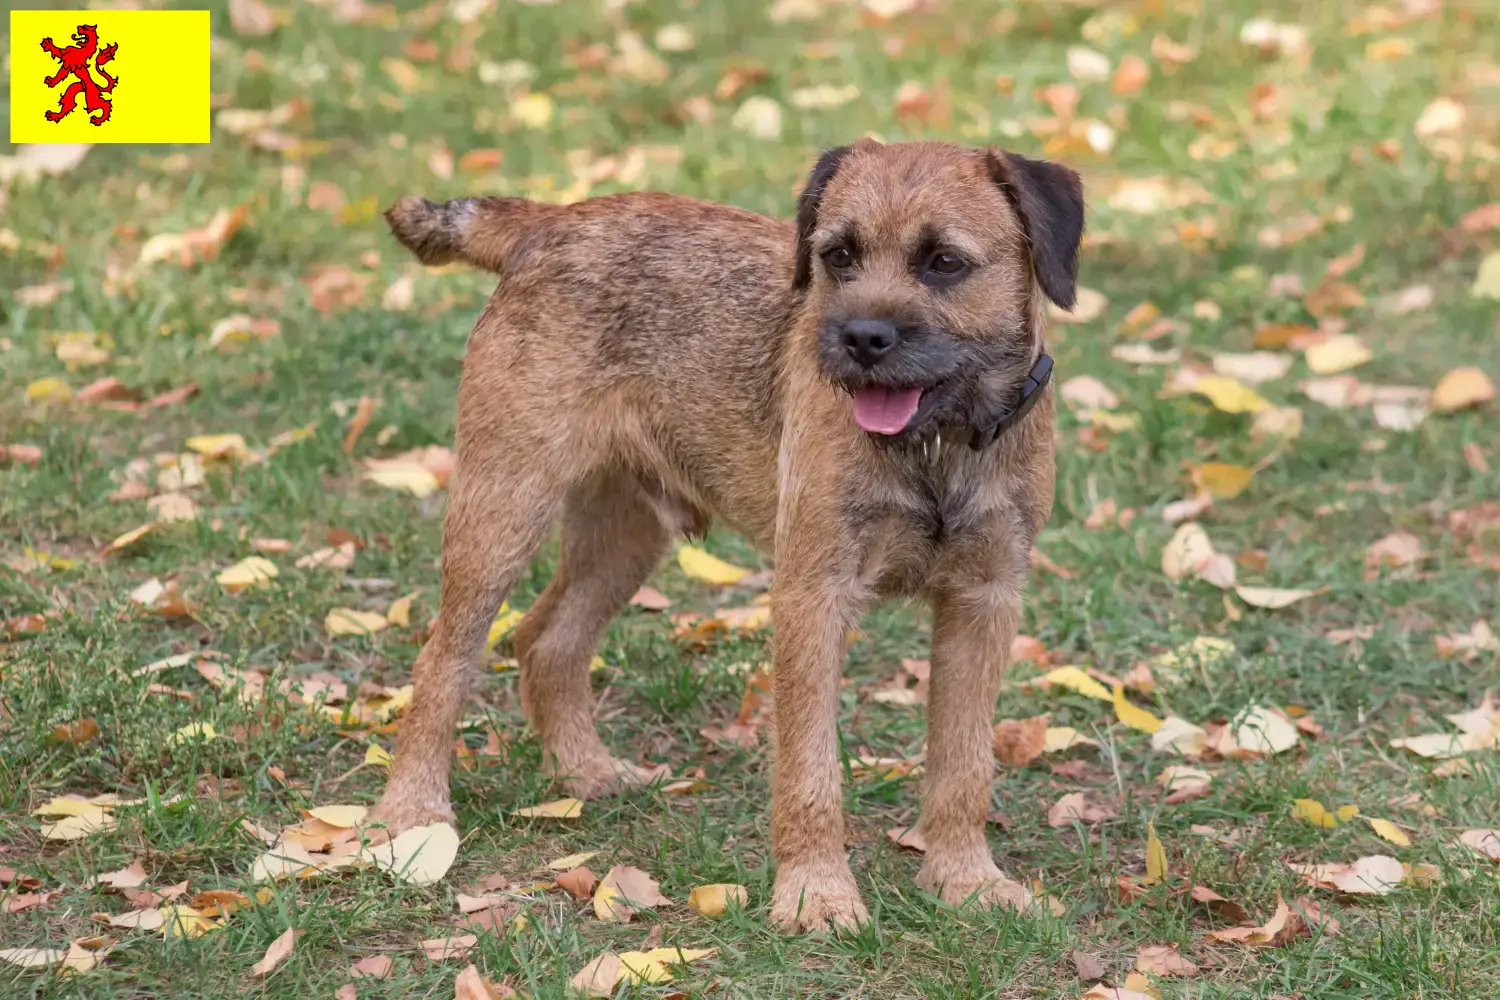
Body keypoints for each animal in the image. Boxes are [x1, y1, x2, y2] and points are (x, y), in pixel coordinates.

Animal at [369, 137, 1086, 935]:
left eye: (946, 263)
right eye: (837, 255)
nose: (860, 339)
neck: (939, 447)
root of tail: (549, 220)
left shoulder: (983, 600)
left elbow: (964, 764)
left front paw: (966, 881)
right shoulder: (812, 597)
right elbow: (810, 767)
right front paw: (816, 895)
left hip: (625, 533)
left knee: (545, 639)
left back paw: (586, 773)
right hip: (502, 509)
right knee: (443, 659)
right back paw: (412, 816)